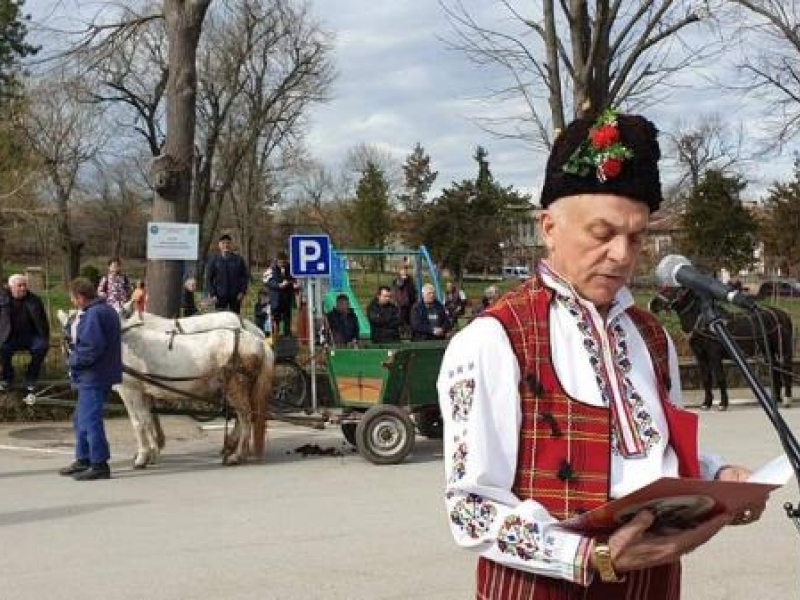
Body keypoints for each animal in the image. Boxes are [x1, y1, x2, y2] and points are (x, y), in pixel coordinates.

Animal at [59, 310, 276, 468]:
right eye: (69, 335)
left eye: (87, 331)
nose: (74, 373)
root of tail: (258, 340)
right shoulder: (144, 392)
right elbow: (148, 420)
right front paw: (153, 451)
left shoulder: (131, 390)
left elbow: (138, 423)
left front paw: (143, 456)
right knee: (244, 417)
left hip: (235, 386)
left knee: (245, 417)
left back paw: (237, 455)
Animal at [648, 288, 792, 410]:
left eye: (671, 290)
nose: (652, 304)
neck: (703, 323)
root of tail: (782, 314)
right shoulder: (701, 356)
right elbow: (706, 379)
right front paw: (706, 403)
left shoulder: (714, 355)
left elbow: (720, 378)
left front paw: (723, 403)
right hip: (769, 351)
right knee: (775, 369)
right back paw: (777, 398)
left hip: (783, 350)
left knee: (785, 370)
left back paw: (786, 399)